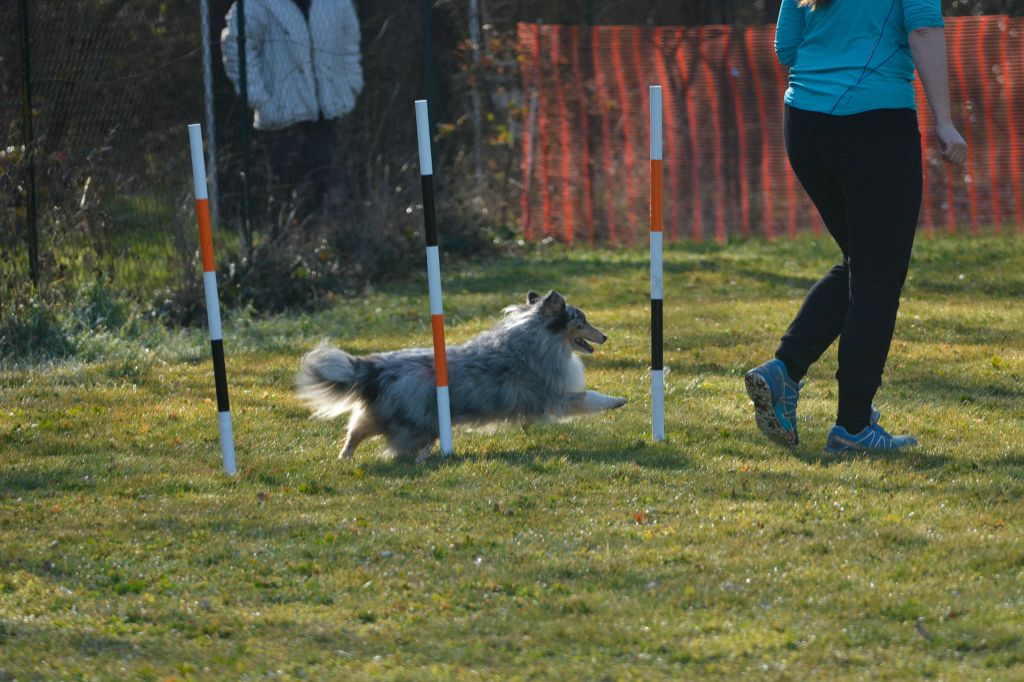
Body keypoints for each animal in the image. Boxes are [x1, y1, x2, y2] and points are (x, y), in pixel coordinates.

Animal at [296, 288, 626, 458]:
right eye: (582, 321)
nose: (605, 336)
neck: (537, 336)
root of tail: (376, 367)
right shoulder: (556, 397)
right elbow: (589, 397)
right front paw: (619, 401)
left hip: (380, 414)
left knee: (355, 431)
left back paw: (345, 458)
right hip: (418, 422)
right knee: (398, 444)